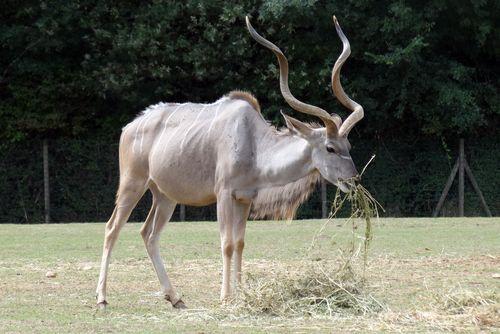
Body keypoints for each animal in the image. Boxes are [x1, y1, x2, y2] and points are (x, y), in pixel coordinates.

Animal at [96, 15, 364, 308]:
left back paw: (175, 298)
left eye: (349, 146)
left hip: (165, 196)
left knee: (149, 234)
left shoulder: (245, 198)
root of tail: (130, 126)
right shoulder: (224, 194)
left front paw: (241, 292)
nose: (353, 179)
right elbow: (226, 242)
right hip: (133, 184)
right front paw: (225, 296)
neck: (254, 144)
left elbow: (240, 242)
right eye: (330, 147)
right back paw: (102, 298)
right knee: (112, 228)